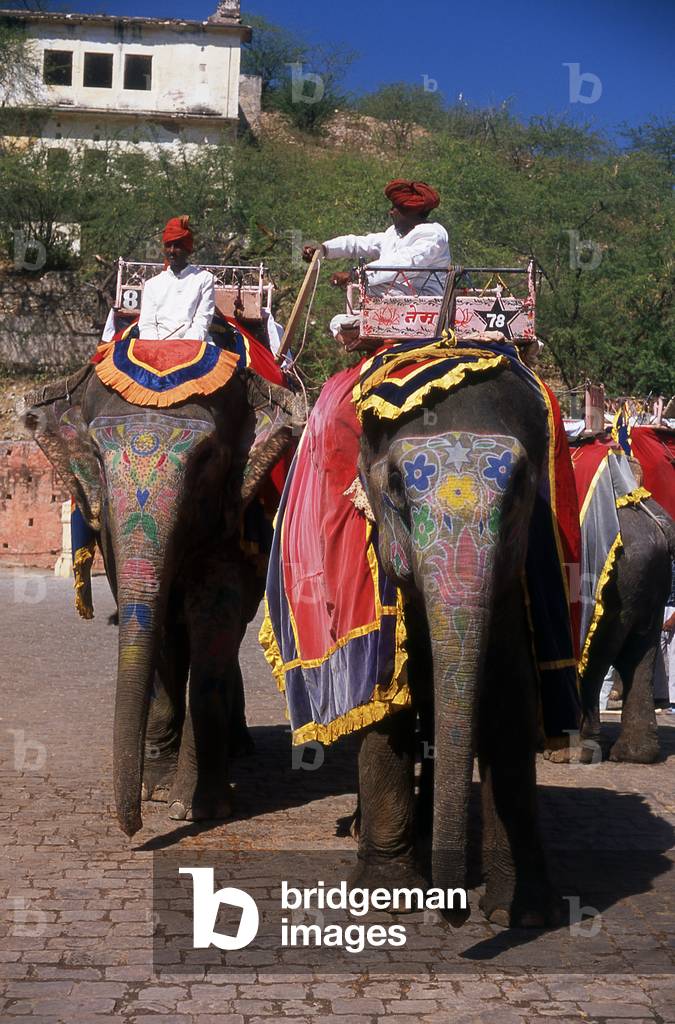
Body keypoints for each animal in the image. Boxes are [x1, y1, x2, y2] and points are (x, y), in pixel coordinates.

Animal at [21, 363, 300, 836]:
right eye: (96, 457)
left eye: (207, 458)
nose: (132, 828)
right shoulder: (108, 530)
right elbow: (160, 628)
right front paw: (156, 788)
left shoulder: (234, 512)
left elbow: (215, 617)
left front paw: (195, 808)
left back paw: (239, 747)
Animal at [354, 370, 565, 928]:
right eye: (398, 489)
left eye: (516, 494)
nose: (455, 909)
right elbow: (384, 698)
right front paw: (390, 899)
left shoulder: (510, 579)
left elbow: (509, 700)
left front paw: (519, 914)